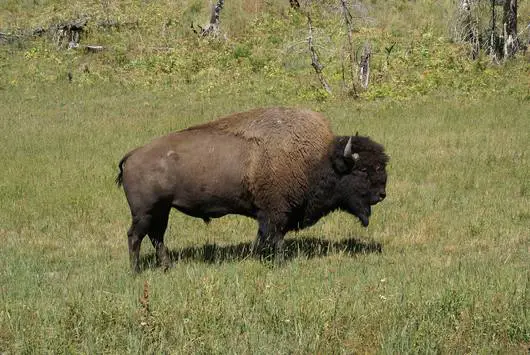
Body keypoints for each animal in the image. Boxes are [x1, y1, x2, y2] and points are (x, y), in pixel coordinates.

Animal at [116, 107, 388, 274]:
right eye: (362, 170)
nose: (382, 194)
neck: (320, 158)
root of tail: (133, 155)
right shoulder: (276, 213)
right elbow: (276, 239)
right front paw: (279, 263)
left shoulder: (266, 215)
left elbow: (263, 238)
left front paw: (257, 257)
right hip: (145, 212)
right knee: (135, 236)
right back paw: (135, 271)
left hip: (162, 210)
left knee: (157, 236)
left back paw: (167, 266)